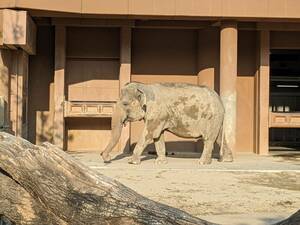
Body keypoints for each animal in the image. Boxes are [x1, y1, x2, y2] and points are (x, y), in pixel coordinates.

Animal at [101, 82, 234, 165]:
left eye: (125, 104)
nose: (106, 158)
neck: (145, 87)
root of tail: (220, 100)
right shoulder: (159, 117)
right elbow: (158, 136)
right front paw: (160, 163)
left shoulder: (156, 113)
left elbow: (148, 134)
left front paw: (132, 162)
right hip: (216, 119)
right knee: (218, 138)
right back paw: (226, 160)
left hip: (211, 118)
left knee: (209, 139)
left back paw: (202, 162)